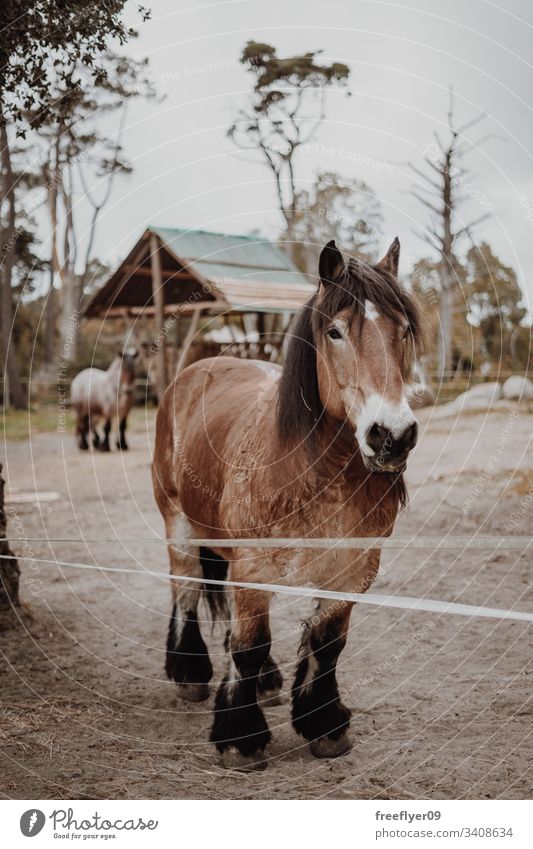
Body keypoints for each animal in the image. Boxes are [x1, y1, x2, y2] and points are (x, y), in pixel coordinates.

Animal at [151, 238, 424, 768]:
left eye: (402, 330)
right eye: (336, 331)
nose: (392, 436)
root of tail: (198, 369)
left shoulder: (352, 571)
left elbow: (327, 643)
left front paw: (325, 725)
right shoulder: (252, 566)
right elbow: (248, 645)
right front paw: (239, 738)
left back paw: (267, 683)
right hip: (179, 523)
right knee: (186, 590)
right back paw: (190, 675)